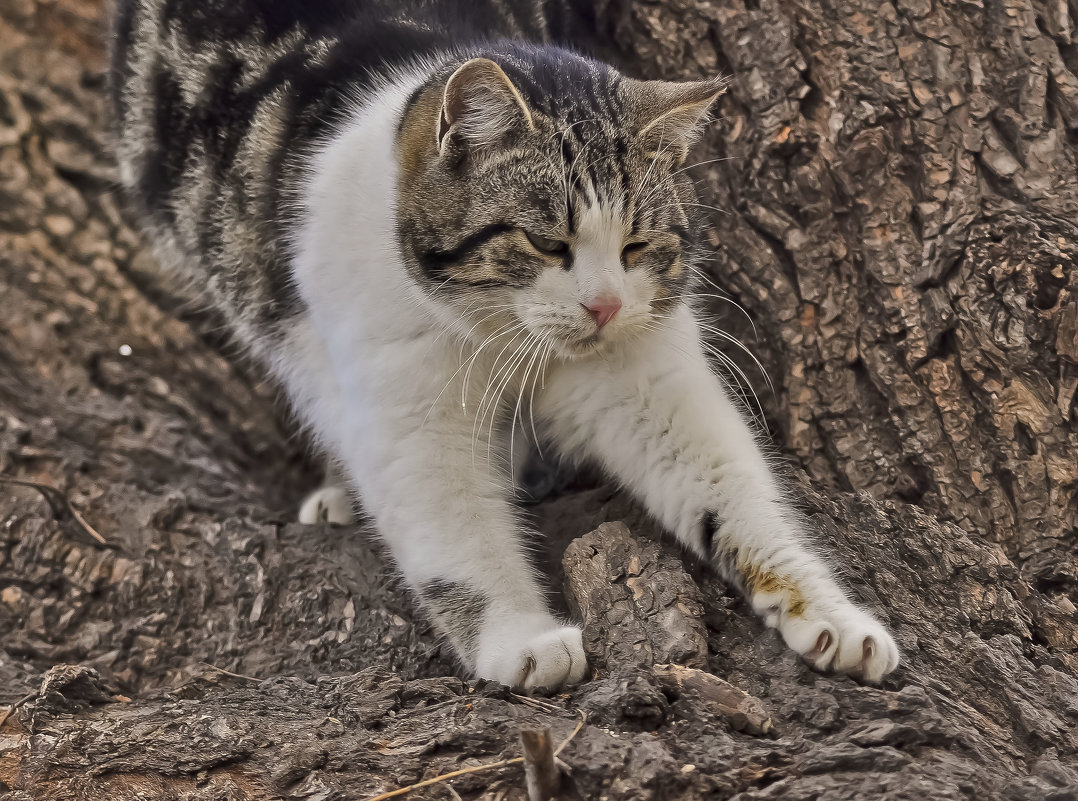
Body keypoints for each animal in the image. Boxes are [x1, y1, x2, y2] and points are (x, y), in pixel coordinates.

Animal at [111, 0, 901, 689]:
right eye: (546, 243)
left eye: (637, 245)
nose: (604, 304)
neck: (507, 338)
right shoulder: (408, 409)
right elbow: (456, 533)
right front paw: (520, 640)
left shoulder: (648, 382)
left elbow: (732, 490)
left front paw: (830, 615)